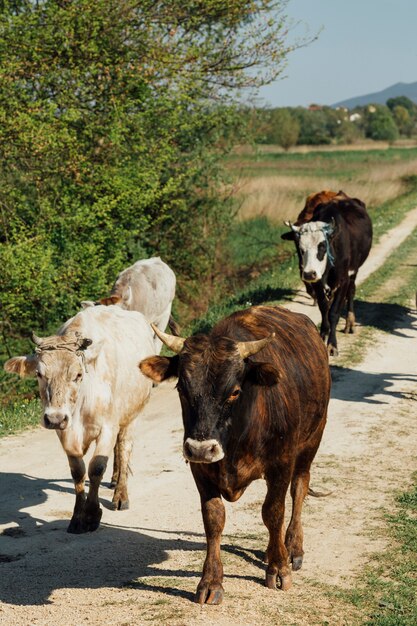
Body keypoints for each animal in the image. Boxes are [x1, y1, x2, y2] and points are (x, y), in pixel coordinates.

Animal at [4, 304, 154, 528]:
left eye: (78, 374)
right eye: (39, 374)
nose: (55, 418)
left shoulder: (108, 427)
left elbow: (96, 467)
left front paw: (91, 514)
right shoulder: (65, 432)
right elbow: (78, 471)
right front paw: (77, 516)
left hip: (133, 413)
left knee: (124, 447)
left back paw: (120, 495)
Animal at [139, 304, 328, 604]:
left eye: (235, 391)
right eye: (181, 388)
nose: (201, 448)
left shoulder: (281, 464)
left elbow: (273, 512)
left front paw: (279, 567)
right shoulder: (201, 470)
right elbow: (213, 519)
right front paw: (211, 581)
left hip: (311, 441)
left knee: (299, 488)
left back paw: (293, 546)